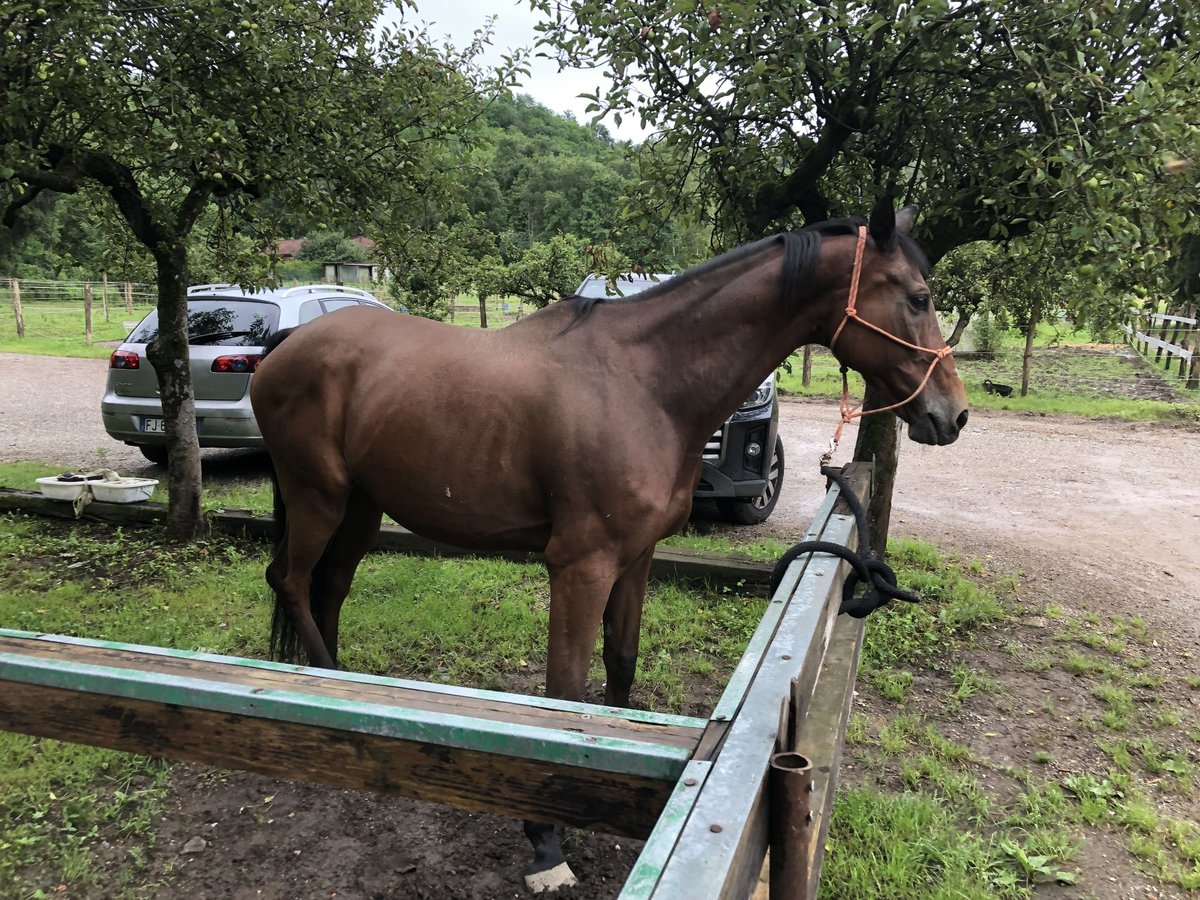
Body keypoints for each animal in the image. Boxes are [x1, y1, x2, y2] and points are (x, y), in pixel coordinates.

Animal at [250, 195, 964, 888]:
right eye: (918, 297)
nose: (952, 414)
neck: (644, 383)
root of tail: (284, 346)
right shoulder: (581, 567)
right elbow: (564, 692)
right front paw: (544, 843)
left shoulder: (636, 558)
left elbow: (620, 662)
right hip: (319, 499)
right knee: (291, 581)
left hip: (359, 511)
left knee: (328, 591)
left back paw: (334, 690)